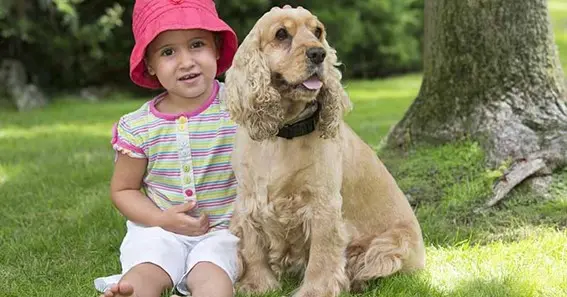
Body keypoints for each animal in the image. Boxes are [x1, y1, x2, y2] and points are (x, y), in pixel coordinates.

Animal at [222, 5, 426, 296]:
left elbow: (322, 254)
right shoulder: (249, 198)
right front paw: (256, 285)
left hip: (390, 246)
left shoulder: (322, 204)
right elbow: (252, 247)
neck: (283, 133)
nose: (319, 53)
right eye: (281, 34)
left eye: (317, 31)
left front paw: (315, 290)